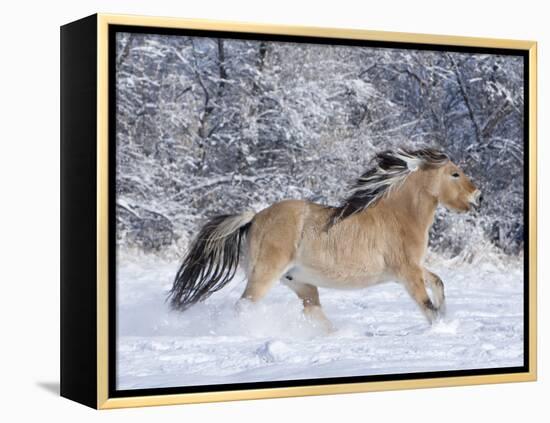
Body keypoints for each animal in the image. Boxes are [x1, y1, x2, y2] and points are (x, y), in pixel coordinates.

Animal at [168, 149, 484, 332]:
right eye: (455, 173)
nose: (478, 197)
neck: (398, 217)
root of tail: (254, 218)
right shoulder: (407, 273)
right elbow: (426, 305)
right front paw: (442, 329)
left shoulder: (414, 268)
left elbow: (438, 282)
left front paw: (446, 315)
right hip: (265, 275)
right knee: (244, 307)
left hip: (302, 283)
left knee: (313, 312)